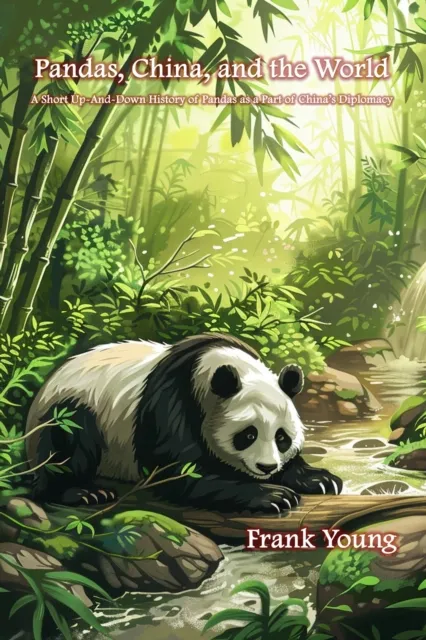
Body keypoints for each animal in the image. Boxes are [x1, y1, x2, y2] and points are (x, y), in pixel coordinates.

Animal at [25, 333, 342, 512]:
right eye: (248, 435)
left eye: (282, 438)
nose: (267, 467)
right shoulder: (171, 402)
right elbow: (178, 472)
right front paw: (273, 496)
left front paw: (318, 479)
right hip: (72, 409)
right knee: (67, 443)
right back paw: (84, 492)